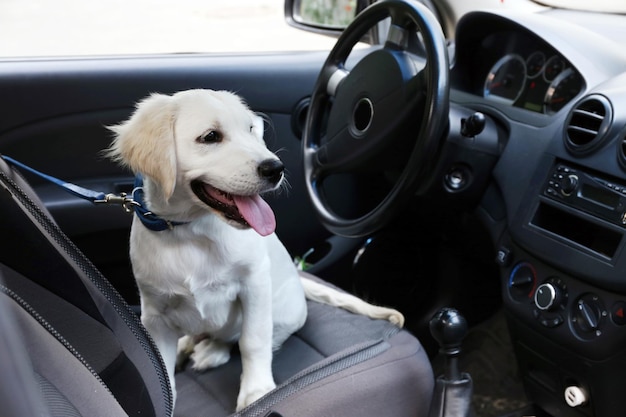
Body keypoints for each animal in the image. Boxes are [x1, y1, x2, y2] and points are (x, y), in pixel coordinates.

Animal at [106, 89, 400, 412]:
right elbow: (160, 370)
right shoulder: (155, 314)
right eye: (210, 137)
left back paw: (211, 350)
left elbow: (252, 340)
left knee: (240, 337)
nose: (276, 169)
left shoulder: (254, 283)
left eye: (250, 129)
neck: (191, 232)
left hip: (283, 313)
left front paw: (256, 390)